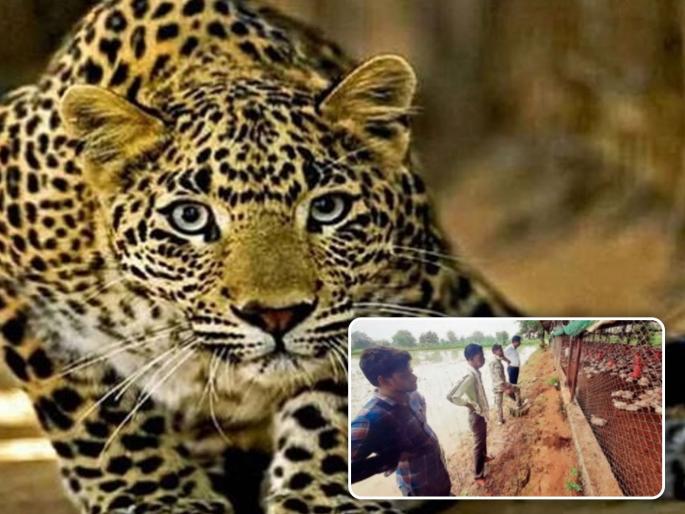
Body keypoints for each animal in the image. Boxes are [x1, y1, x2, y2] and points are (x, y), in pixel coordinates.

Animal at [0, 0, 519, 512]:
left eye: (327, 209)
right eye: (190, 217)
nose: (277, 316)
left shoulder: (401, 285)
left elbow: (332, 399)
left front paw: (322, 497)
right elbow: (90, 411)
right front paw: (155, 494)